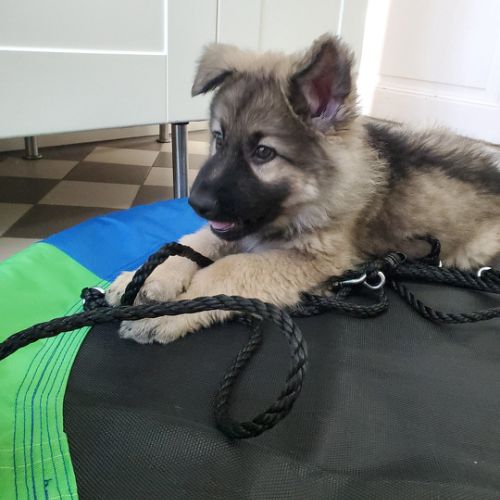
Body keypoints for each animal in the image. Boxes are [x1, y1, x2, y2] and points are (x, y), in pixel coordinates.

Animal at [107, 34, 500, 344]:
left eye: (263, 153)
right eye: (218, 138)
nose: (196, 202)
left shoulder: (316, 259)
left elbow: (228, 268)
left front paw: (167, 312)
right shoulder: (234, 228)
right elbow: (193, 242)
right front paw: (143, 278)